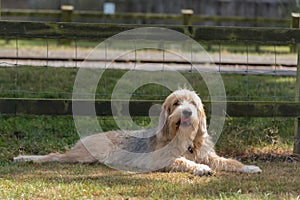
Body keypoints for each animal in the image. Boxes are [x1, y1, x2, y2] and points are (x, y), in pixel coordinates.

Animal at [13, 89, 260, 175]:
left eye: (193, 102)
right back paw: (24, 158)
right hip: (82, 156)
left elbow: (228, 161)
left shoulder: (208, 155)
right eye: (176, 103)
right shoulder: (160, 159)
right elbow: (183, 161)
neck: (184, 141)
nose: (187, 112)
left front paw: (248, 167)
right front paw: (200, 168)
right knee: (53, 156)